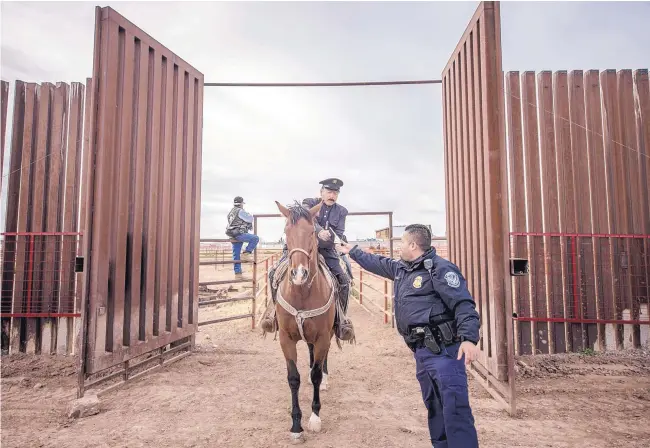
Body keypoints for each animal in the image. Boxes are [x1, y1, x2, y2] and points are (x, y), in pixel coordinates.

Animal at [274, 200, 336, 444]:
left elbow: (317, 374)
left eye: (312, 232)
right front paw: (296, 426)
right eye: (286, 232)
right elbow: (293, 378)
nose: (299, 274)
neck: (301, 293)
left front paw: (315, 418)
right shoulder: (286, 339)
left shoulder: (322, 338)